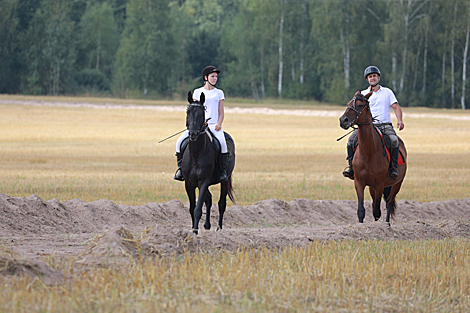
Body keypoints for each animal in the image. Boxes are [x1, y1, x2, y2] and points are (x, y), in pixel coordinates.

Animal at [183, 91, 237, 233]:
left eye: (202, 113)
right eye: (188, 112)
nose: (193, 134)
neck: (196, 154)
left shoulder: (204, 181)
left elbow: (197, 209)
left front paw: (195, 231)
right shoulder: (189, 183)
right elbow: (192, 208)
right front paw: (193, 229)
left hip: (225, 180)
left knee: (221, 203)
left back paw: (218, 228)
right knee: (209, 199)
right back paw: (207, 226)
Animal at [338, 91, 408, 223]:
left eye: (360, 105)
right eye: (348, 103)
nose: (343, 120)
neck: (368, 153)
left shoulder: (379, 184)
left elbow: (377, 211)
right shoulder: (359, 182)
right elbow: (361, 210)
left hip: (397, 184)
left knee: (389, 203)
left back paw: (387, 224)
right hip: (372, 188)